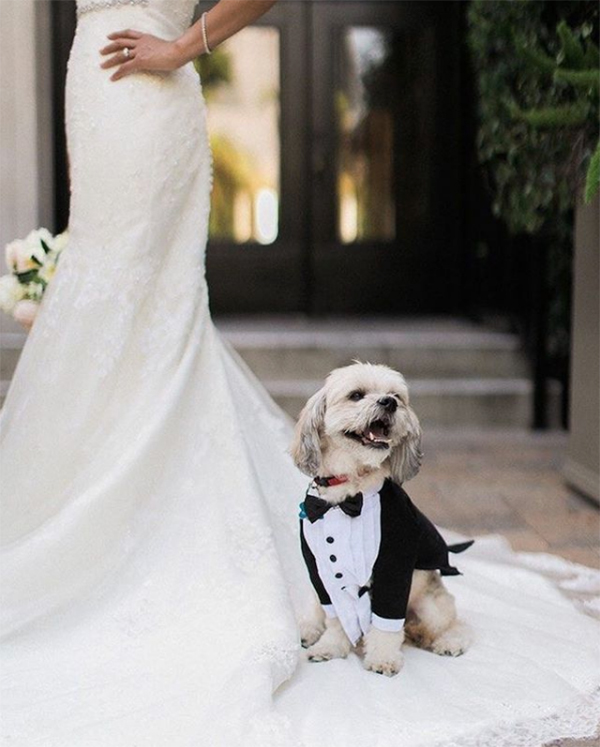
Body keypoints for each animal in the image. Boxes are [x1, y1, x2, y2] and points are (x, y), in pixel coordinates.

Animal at [290, 362, 474, 676]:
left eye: (397, 396)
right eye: (356, 395)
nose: (389, 403)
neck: (350, 490)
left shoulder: (394, 563)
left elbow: (386, 622)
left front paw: (383, 658)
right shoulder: (319, 568)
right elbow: (336, 615)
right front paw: (330, 646)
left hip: (430, 602)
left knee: (451, 623)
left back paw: (445, 640)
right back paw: (308, 630)